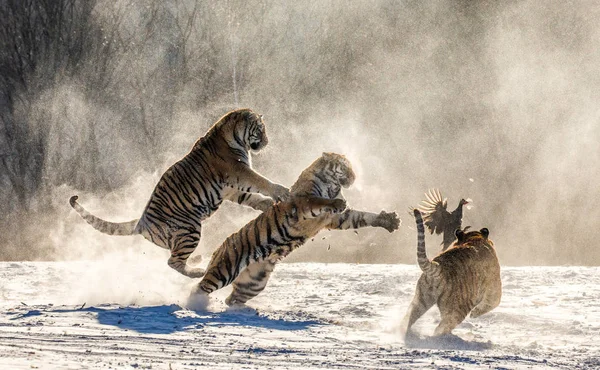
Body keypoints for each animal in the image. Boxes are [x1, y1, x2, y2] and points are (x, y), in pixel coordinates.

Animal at [404, 208, 502, 338]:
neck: (474, 238)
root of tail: (439, 267)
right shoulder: (494, 290)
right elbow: (492, 303)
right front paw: (474, 314)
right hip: (458, 309)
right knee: (441, 327)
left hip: (421, 299)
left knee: (408, 318)